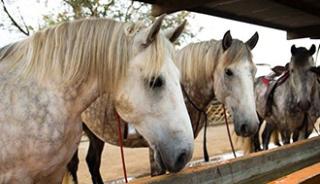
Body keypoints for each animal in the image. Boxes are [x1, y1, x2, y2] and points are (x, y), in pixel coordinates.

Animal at [65, 30, 260, 183]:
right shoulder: (158, 150)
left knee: (92, 162)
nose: (250, 125)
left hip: (95, 134)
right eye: (228, 71)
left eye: (254, 71)